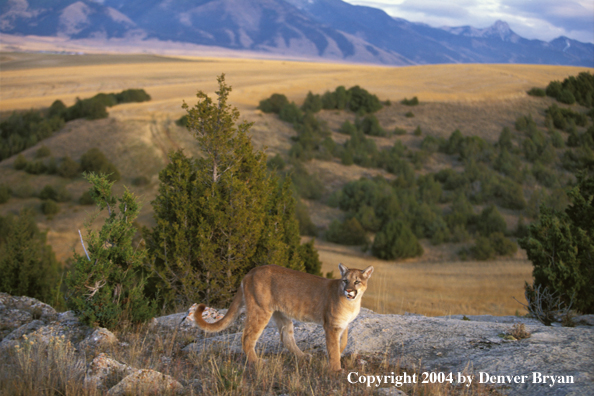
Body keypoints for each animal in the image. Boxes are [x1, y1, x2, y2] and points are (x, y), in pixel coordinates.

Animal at [192, 262, 372, 372]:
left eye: (357, 282)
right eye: (345, 281)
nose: (349, 291)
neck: (352, 303)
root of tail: (251, 271)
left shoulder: (343, 325)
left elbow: (343, 342)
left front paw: (338, 357)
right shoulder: (331, 326)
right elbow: (333, 347)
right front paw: (336, 369)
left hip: (282, 314)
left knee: (286, 338)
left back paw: (303, 356)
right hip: (261, 311)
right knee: (247, 337)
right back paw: (257, 362)